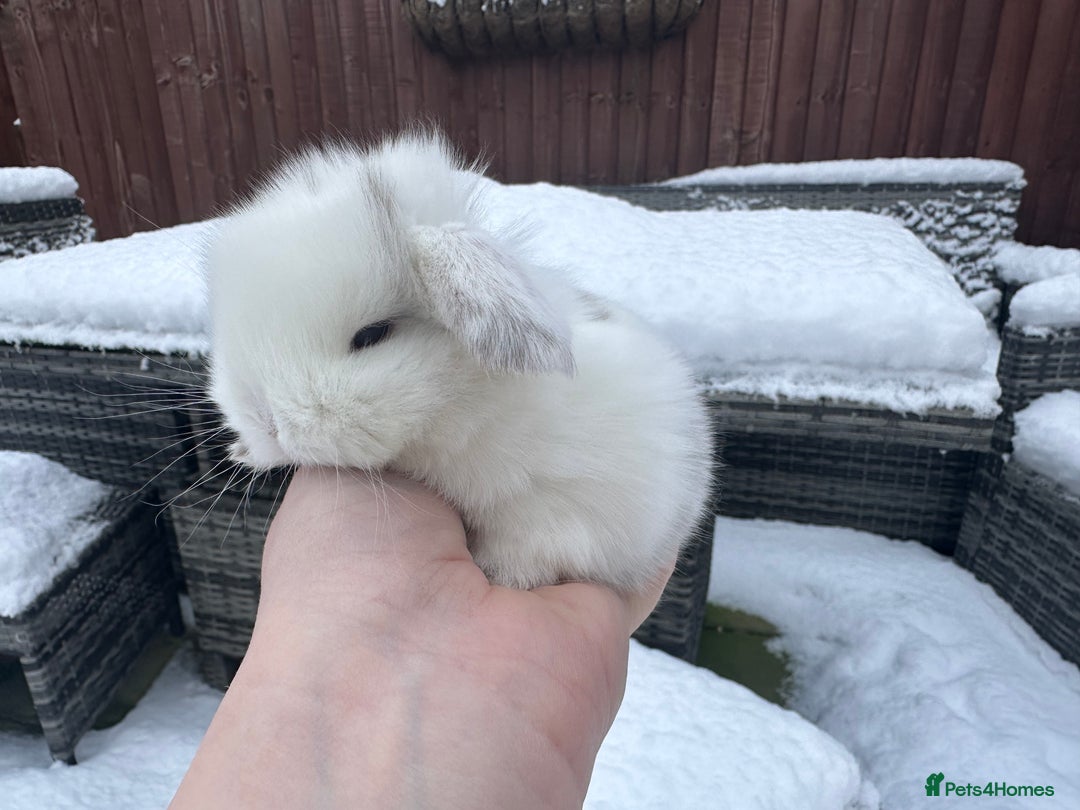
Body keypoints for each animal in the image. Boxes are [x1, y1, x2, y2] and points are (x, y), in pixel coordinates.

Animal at [205, 131, 713, 592]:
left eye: (373, 335)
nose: (266, 422)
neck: (454, 409)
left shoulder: (576, 509)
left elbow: (540, 546)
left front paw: (500, 574)